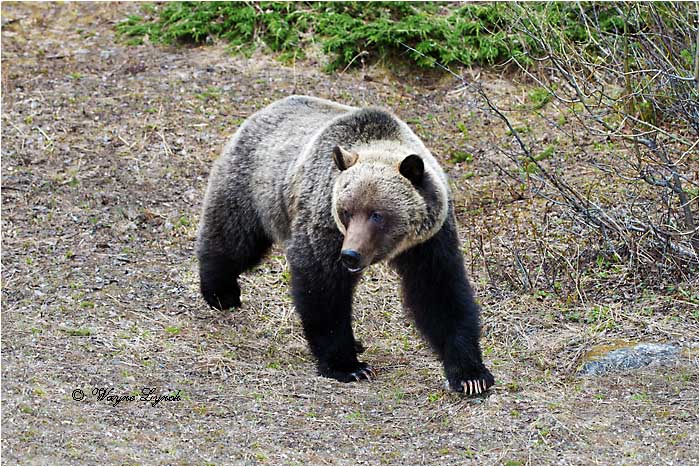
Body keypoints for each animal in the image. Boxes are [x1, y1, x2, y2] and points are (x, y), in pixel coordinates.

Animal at [196, 95, 494, 395]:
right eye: (346, 211)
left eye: (377, 214)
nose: (350, 255)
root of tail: (267, 109)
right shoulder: (325, 226)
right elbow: (323, 287)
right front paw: (348, 366)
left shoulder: (429, 241)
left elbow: (440, 293)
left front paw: (471, 375)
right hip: (253, 187)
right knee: (234, 238)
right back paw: (221, 292)